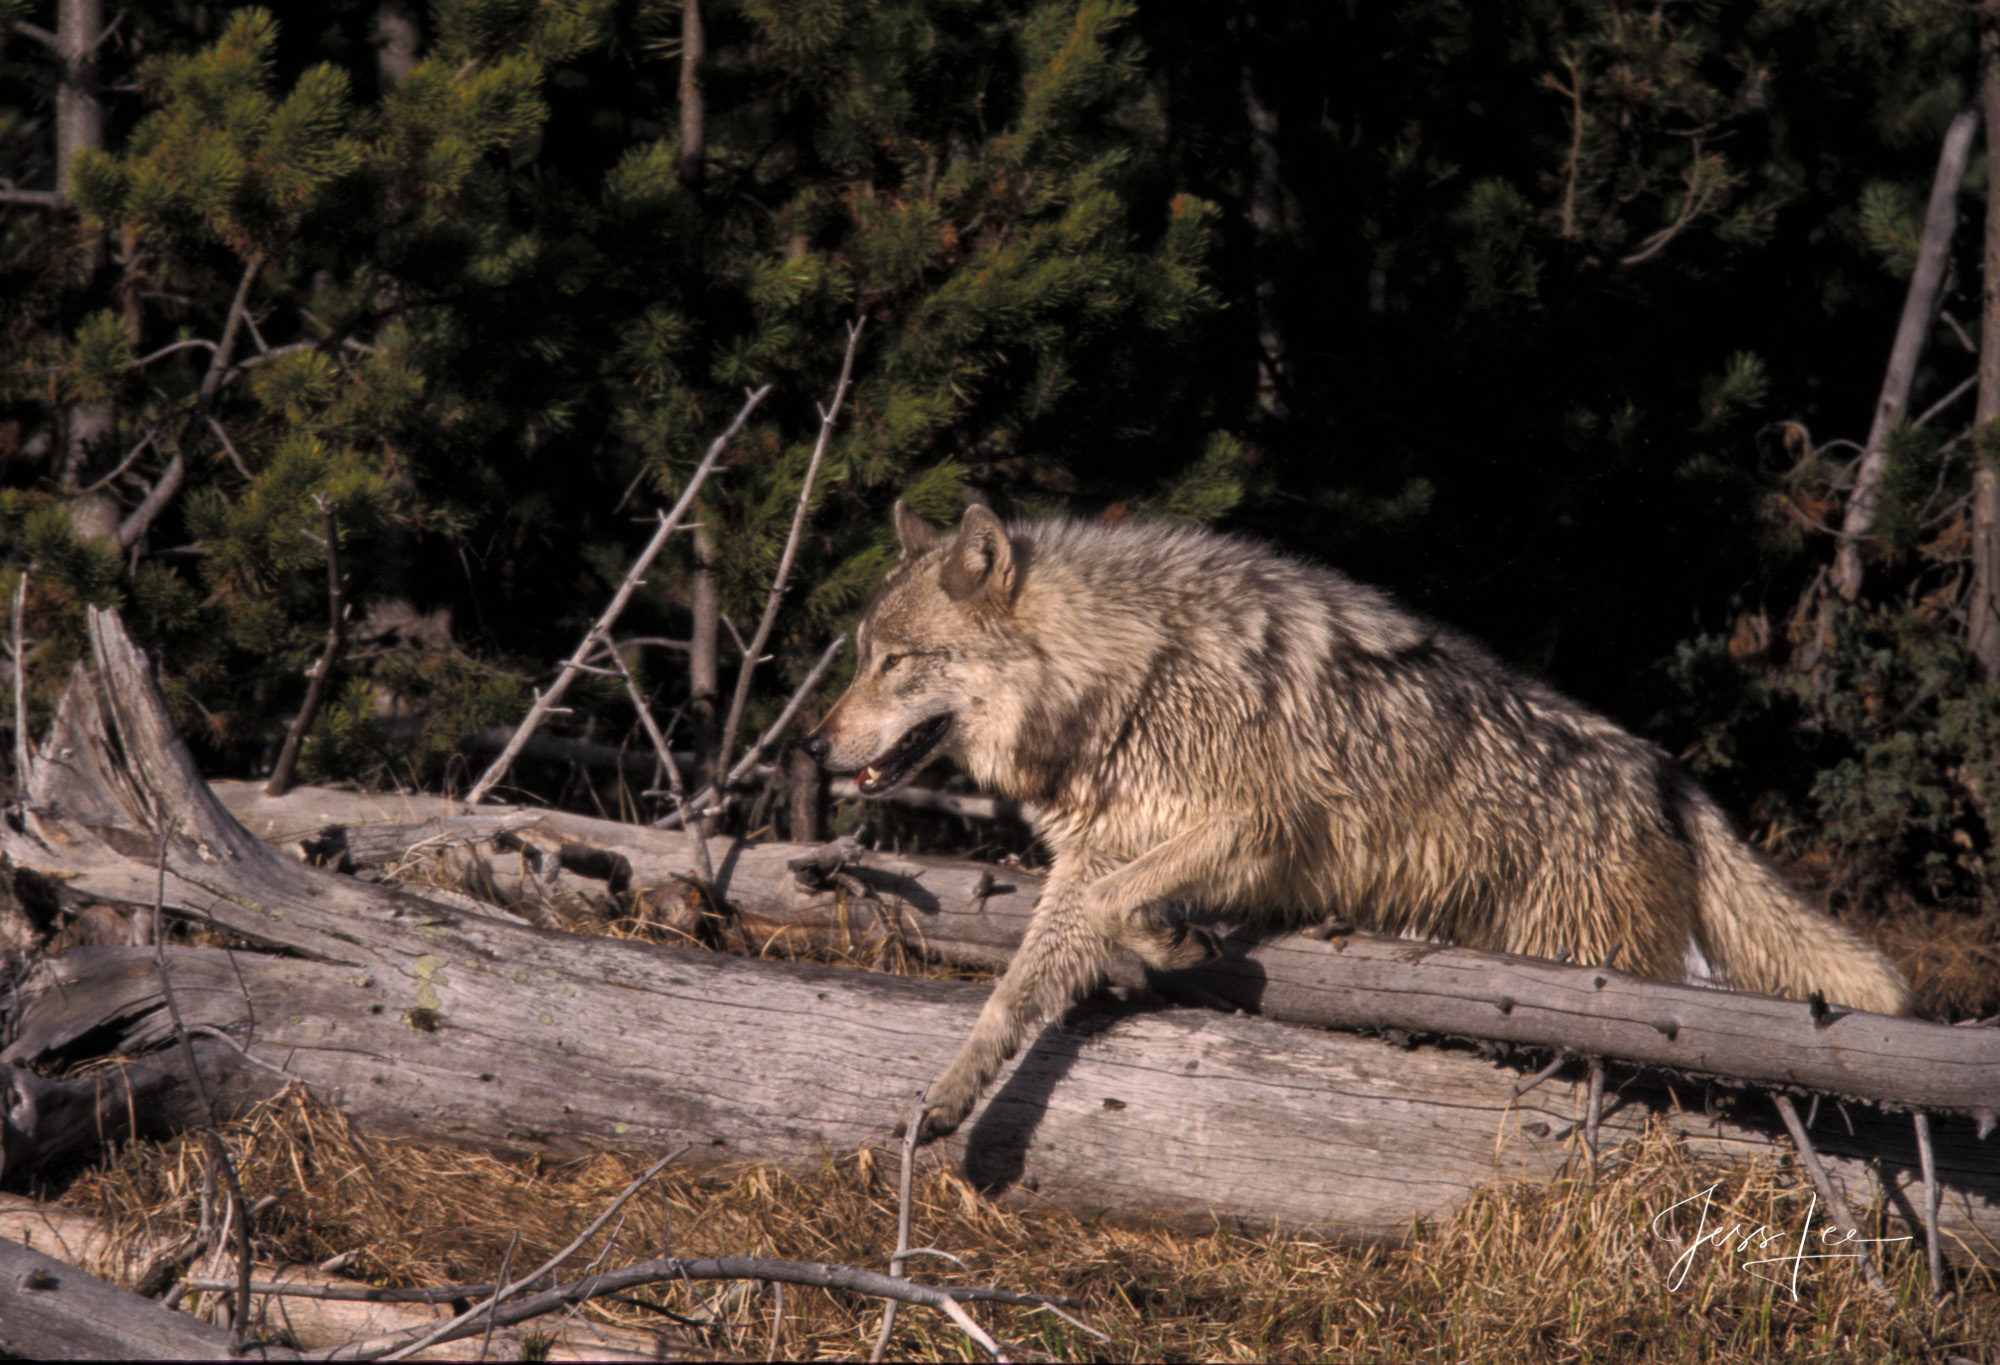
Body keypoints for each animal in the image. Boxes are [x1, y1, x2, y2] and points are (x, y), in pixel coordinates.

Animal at [804, 502, 1912, 1136]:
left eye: (891, 662)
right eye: (861, 656)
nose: (813, 745)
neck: (1127, 676)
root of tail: (1663, 773)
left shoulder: (1253, 828)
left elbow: (1130, 899)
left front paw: (1175, 938)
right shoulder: (1090, 863)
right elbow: (1017, 990)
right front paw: (949, 1099)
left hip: (1584, 965)